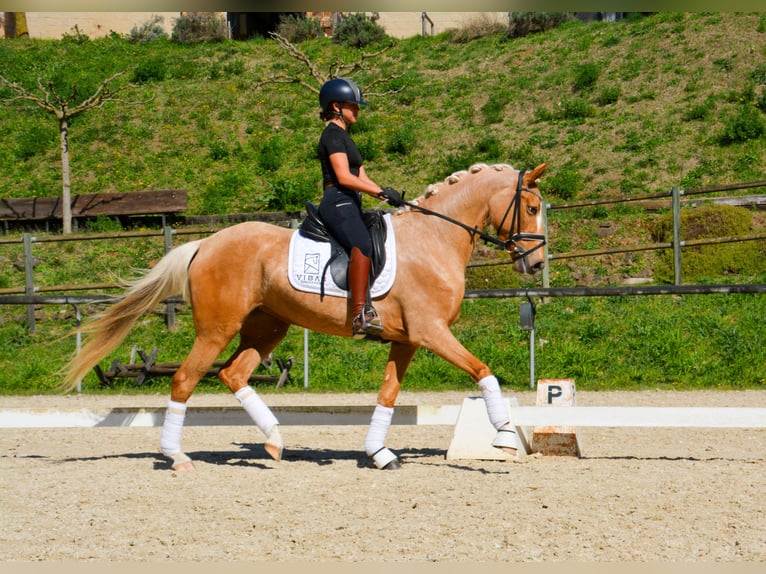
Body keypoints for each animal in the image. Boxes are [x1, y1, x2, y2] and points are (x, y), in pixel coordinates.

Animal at [63, 162, 548, 471]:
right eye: (530, 208)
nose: (537, 264)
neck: (434, 238)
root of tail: (204, 244)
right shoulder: (431, 332)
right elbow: (483, 371)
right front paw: (504, 436)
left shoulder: (407, 338)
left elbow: (388, 394)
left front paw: (379, 454)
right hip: (217, 329)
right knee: (185, 379)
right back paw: (177, 457)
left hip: (268, 326)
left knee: (234, 374)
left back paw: (275, 442)